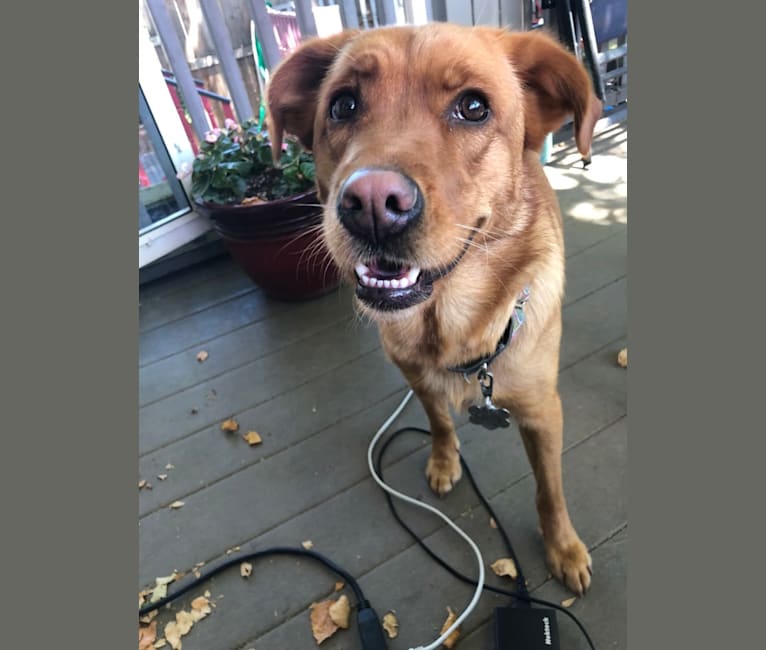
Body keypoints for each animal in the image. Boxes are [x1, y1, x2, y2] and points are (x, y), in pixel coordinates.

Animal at [270, 24, 608, 592]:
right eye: (342, 105)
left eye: (473, 107)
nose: (372, 203)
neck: (449, 325)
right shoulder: (417, 378)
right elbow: (440, 423)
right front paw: (445, 461)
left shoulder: (543, 413)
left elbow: (550, 490)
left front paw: (562, 548)